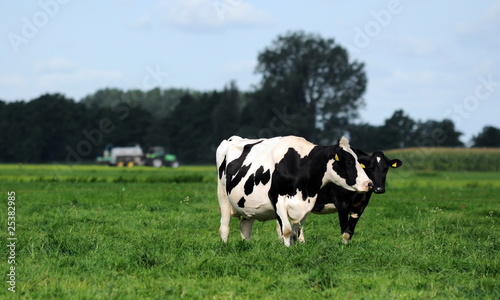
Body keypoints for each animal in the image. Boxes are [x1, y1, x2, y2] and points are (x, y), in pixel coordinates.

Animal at [217, 135, 374, 246]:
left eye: (359, 162)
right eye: (349, 162)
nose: (369, 184)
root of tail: (232, 139)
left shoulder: (307, 204)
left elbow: (295, 231)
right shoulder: (278, 199)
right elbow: (286, 231)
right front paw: (287, 251)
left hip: (247, 206)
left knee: (245, 226)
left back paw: (247, 246)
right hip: (223, 196)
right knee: (225, 226)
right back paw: (225, 245)